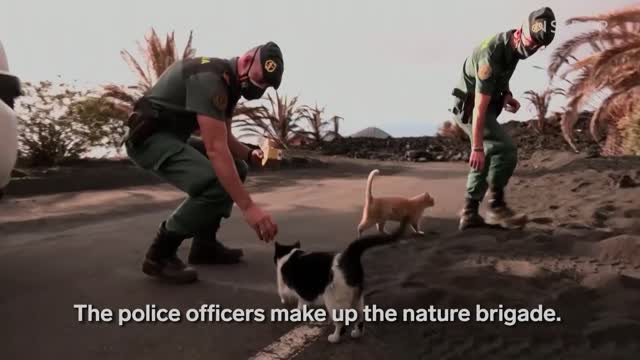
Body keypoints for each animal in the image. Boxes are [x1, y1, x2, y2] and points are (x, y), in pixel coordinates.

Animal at [272, 217, 408, 344]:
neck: (290, 254)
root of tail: (349, 256)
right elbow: (302, 300)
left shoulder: (289, 284)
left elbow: (285, 294)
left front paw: (293, 308)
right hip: (356, 296)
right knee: (360, 317)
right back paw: (357, 333)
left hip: (334, 300)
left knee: (342, 323)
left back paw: (335, 337)